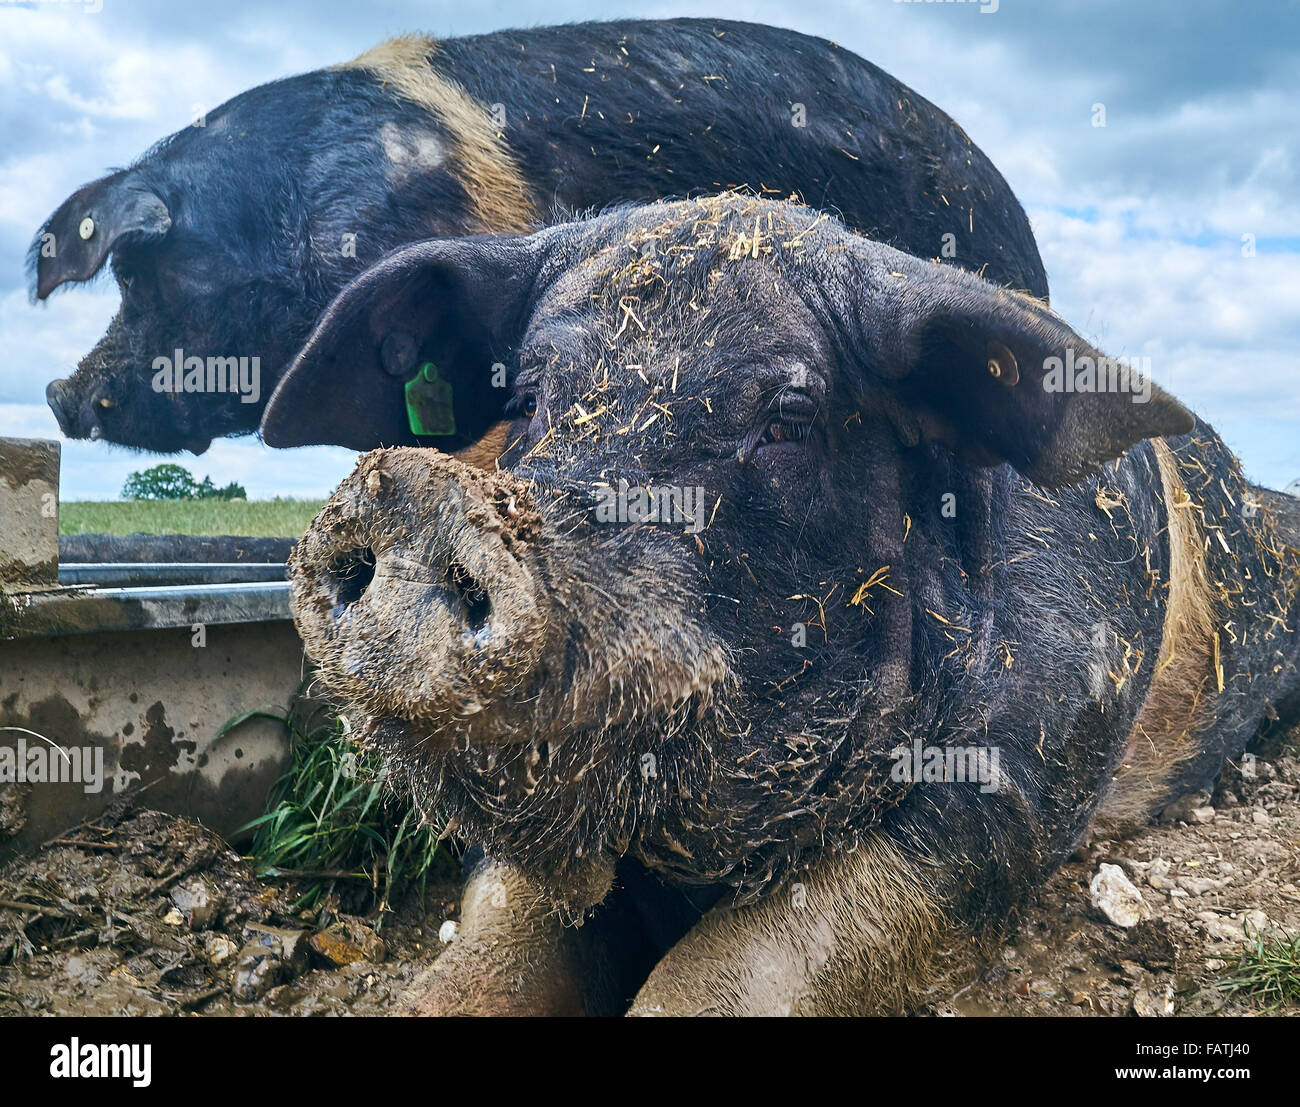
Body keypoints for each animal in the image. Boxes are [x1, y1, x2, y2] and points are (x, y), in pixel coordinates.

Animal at [276, 194, 1300, 1018]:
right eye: (528, 399)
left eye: (790, 419)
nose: (414, 495)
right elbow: (487, 954)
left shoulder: (1009, 803)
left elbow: (722, 972)